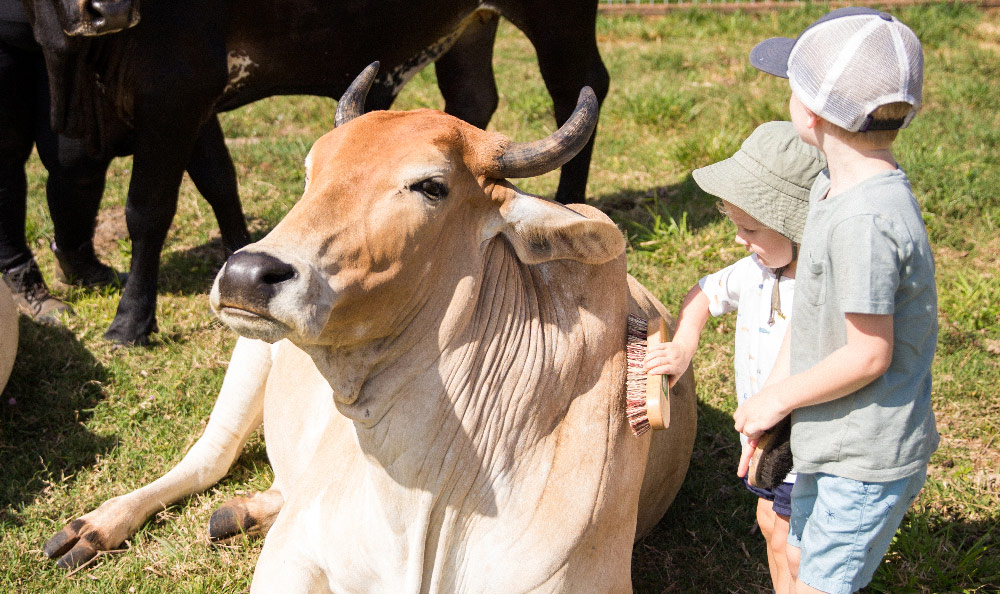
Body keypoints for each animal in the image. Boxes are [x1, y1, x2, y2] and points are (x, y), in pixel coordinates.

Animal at [23, 0, 608, 344]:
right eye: (312, 170)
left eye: (430, 186)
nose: (104, 9)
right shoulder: (197, 106)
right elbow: (219, 179)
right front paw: (235, 248)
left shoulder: (175, 88)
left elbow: (147, 210)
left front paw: (129, 323)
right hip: (471, 28)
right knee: (473, 96)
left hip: (560, 20)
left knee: (581, 87)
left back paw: (569, 203)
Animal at [41, 62, 696, 588]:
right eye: (312, 169)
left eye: (431, 185)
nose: (246, 273)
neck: (424, 503)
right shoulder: (291, 557)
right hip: (251, 354)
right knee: (207, 459)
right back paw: (95, 526)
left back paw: (242, 511)